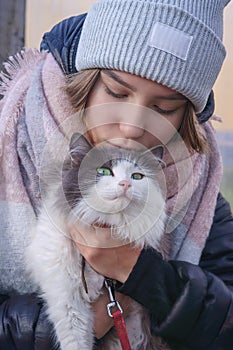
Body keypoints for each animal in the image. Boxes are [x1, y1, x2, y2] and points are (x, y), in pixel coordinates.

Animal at [25, 132, 168, 350]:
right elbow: (76, 339)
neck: (105, 224)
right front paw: (91, 288)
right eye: (104, 171)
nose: (125, 184)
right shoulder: (67, 302)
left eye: (137, 176)